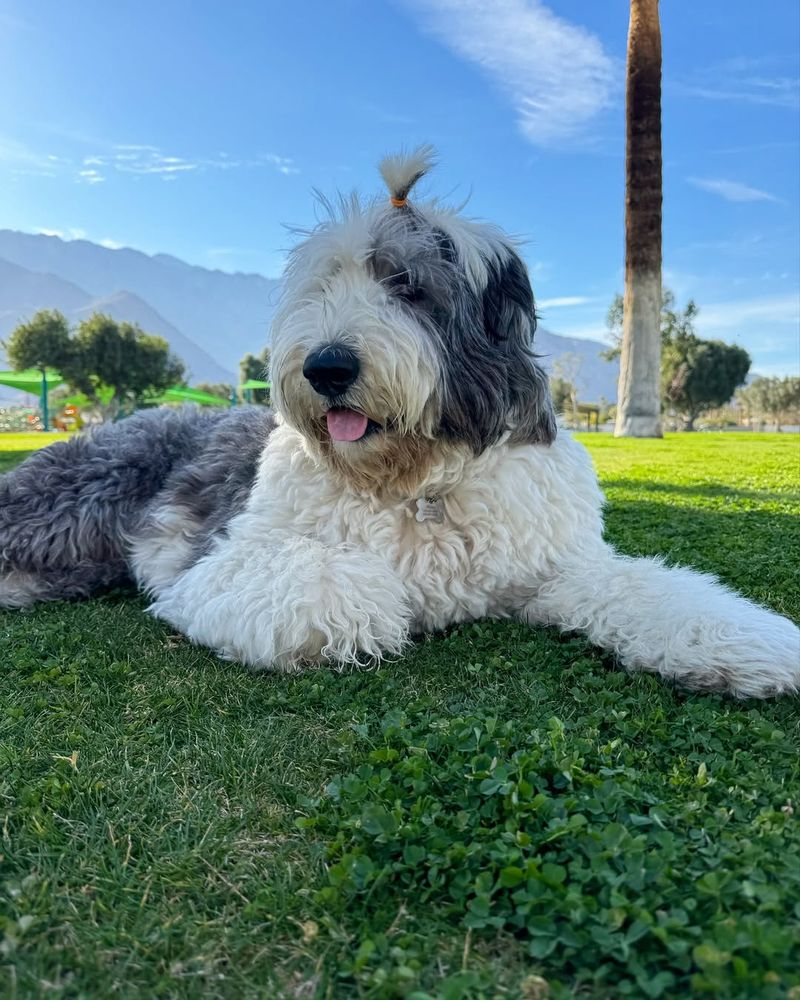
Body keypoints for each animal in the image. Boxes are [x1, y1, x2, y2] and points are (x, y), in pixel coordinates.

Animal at [0, 148, 796, 696]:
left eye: (407, 286)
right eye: (323, 285)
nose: (326, 367)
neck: (419, 482)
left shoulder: (553, 566)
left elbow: (646, 588)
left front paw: (748, 643)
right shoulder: (218, 560)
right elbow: (341, 586)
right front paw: (379, 600)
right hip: (75, 498)